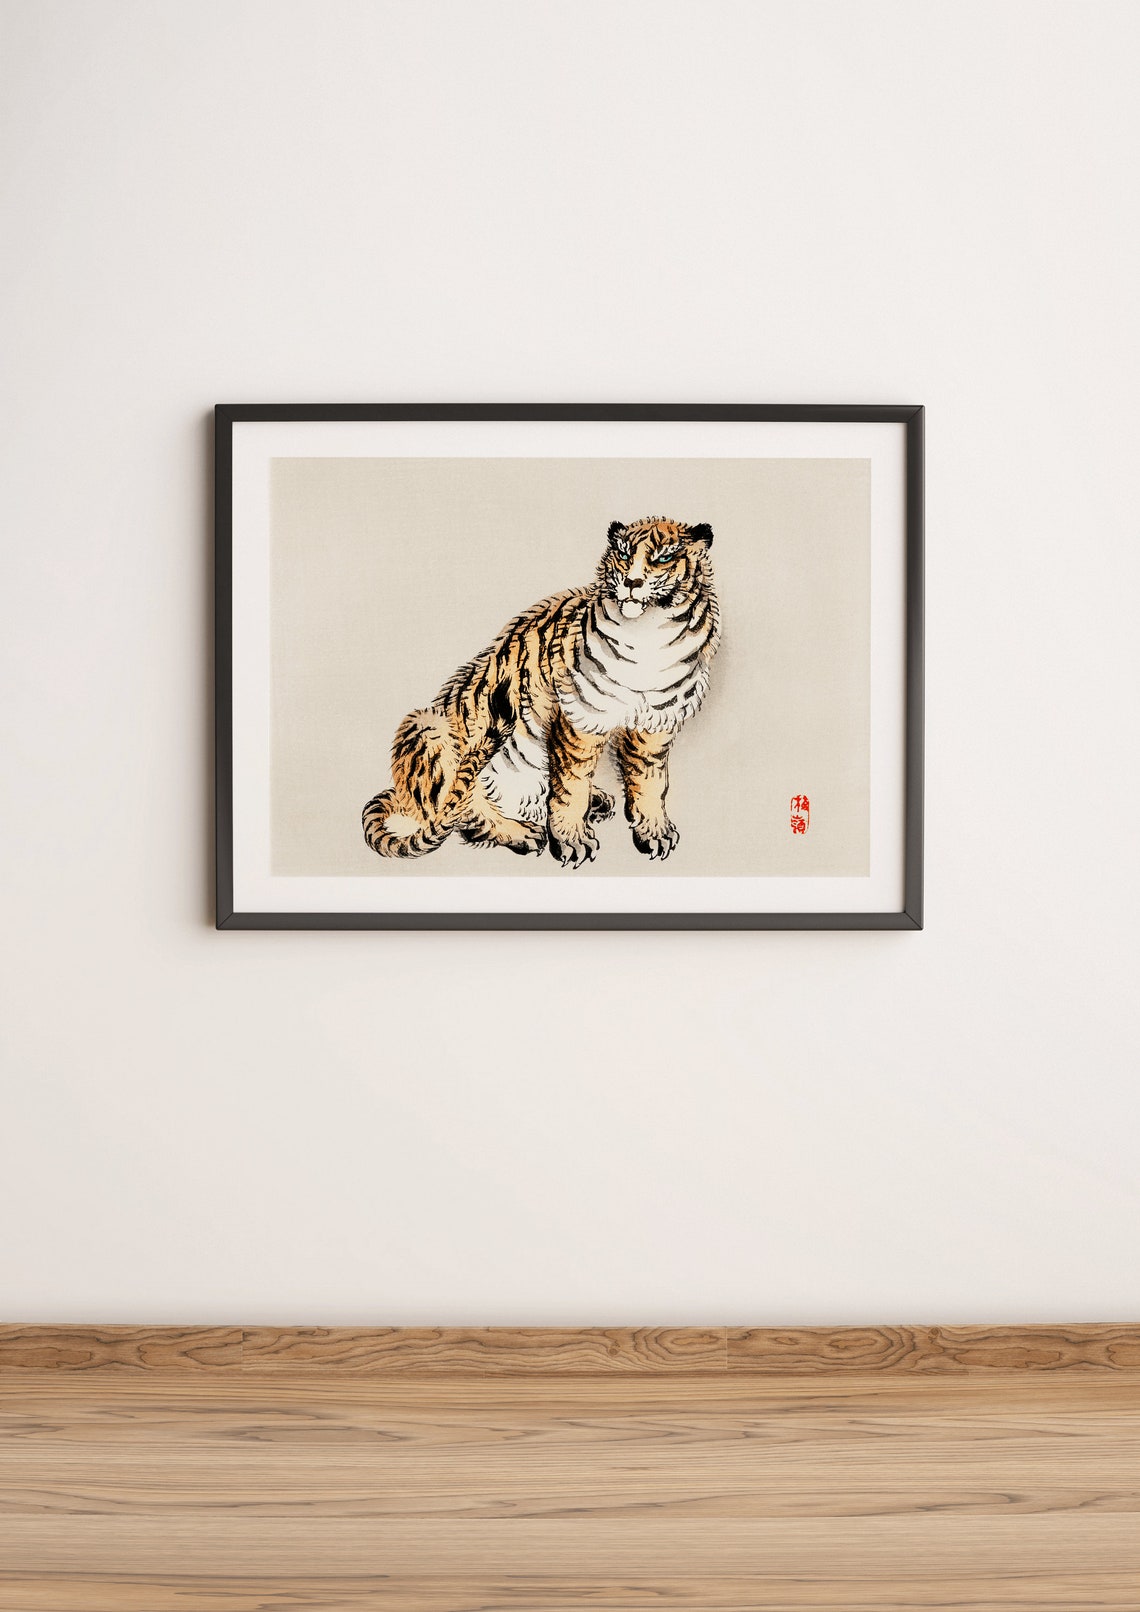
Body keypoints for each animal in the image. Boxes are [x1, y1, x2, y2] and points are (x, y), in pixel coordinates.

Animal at [362, 516, 719, 868]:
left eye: (663, 557)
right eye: (623, 555)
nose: (631, 582)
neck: (650, 635)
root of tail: (401, 795)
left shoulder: (656, 724)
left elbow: (651, 781)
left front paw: (654, 832)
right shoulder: (579, 719)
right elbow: (571, 786)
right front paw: (572, 841)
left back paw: (597, 800)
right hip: (427, 725)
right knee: (463, 811)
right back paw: (522, 832)